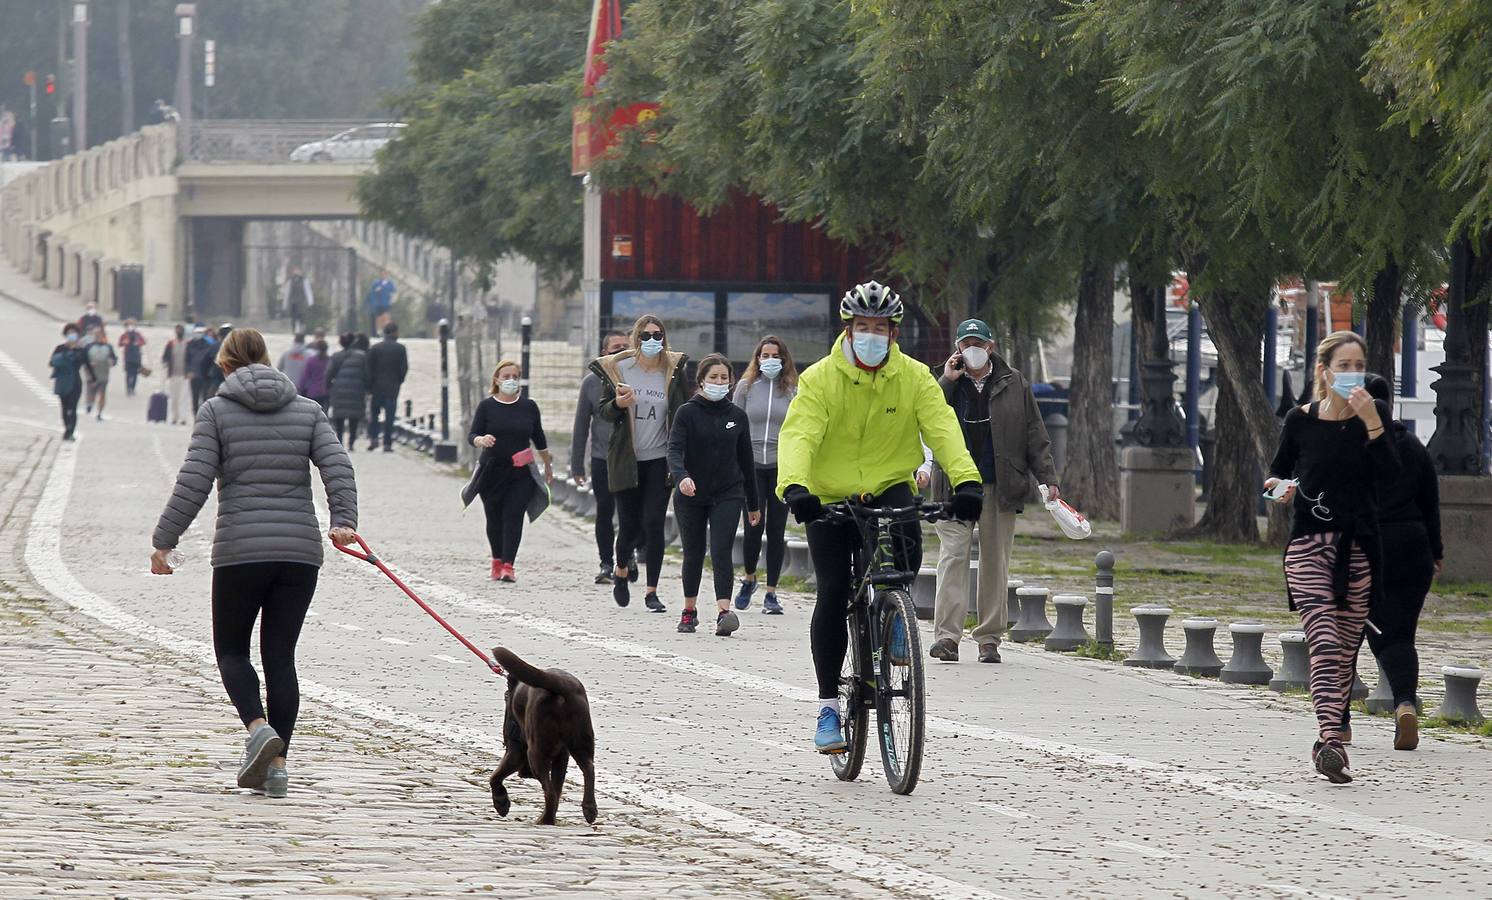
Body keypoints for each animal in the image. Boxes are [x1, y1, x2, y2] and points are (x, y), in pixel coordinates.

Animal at [495, 647, 599, 823]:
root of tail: (560, 684)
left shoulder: (516, 749)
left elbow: (495, 776)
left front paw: (500, 802)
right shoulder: (562, 756)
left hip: (536, 751)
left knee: (549, 792)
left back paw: (545, 820)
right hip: (580, 742)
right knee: (587, 770)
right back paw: (588, 809)